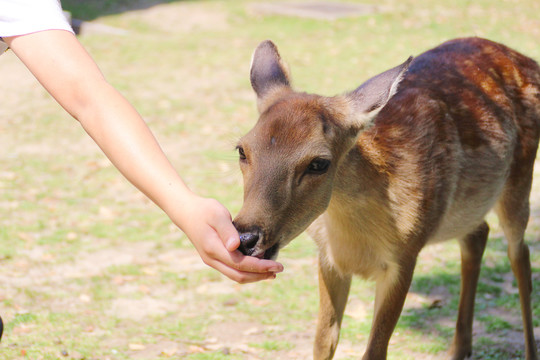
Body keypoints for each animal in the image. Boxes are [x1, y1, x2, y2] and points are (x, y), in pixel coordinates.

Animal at [233, 37, 540, 360]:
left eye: (318, 163)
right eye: (242, 150)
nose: (246, 237)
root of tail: (528, 60)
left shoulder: (406, 256)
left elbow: (375, 350)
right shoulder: (328, 258)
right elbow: (323, 342)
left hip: (520, 179)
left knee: (520, 255)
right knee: (478, 234)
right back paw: (458, 349)